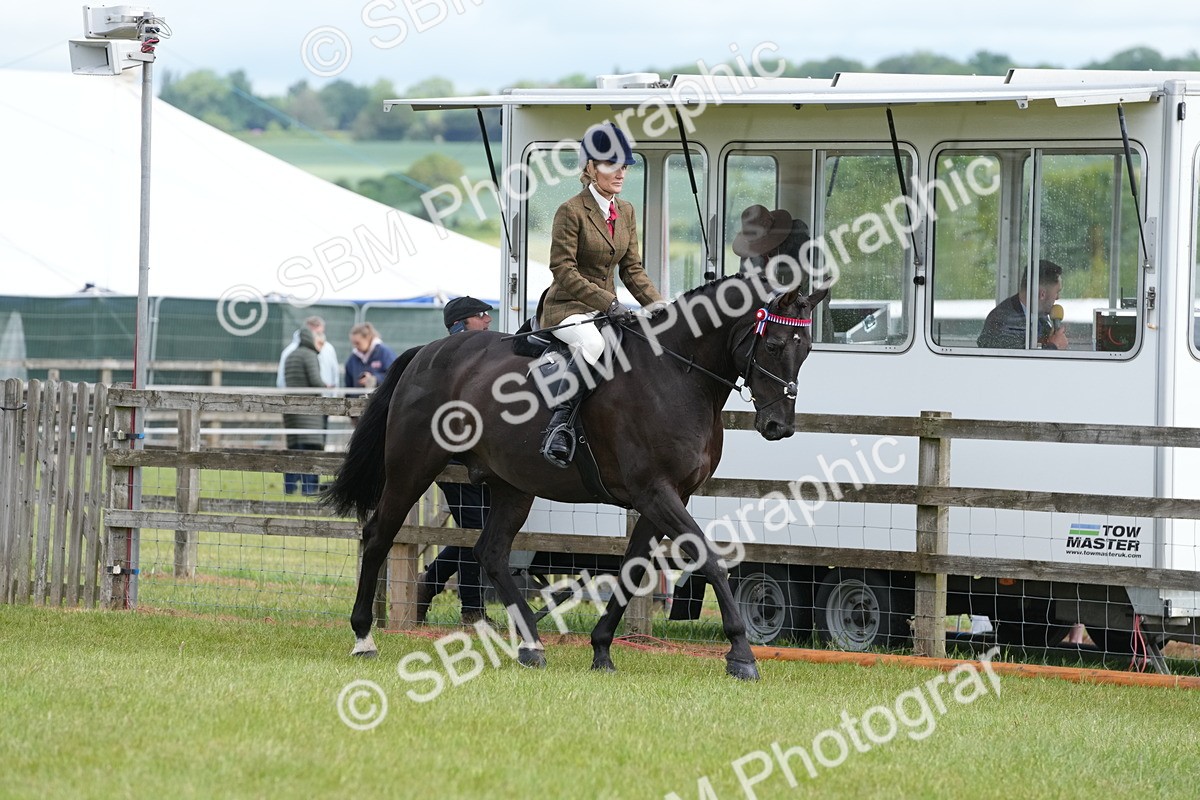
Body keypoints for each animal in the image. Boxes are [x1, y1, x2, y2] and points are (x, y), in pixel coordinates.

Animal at [323, 272, 830, 680]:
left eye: (806, 351)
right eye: (774, 345)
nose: (779, 426)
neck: (676, 374)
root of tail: (427, 351)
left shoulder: (665, 498)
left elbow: (632, 570)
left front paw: (602, 650)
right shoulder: (656, 493)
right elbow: (709, 558)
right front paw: (741, 654)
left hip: (512, 486)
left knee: (490, 552)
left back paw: (531, 645)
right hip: (413, 466)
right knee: (379, 534)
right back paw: (364, 637)